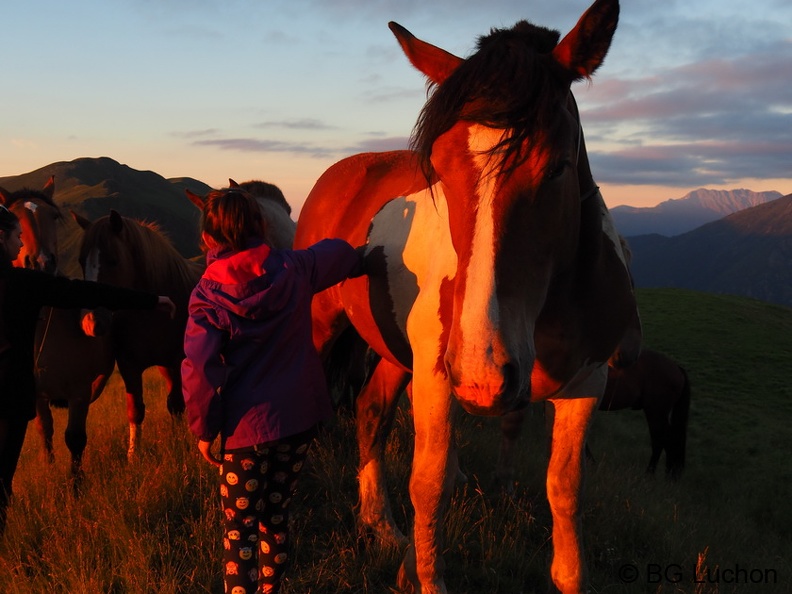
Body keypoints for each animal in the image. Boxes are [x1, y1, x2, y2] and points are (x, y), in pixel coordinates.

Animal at [0, 176, 116, 476]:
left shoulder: (79, 392)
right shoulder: (38, 394)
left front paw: (77, 483)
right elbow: (45, 430)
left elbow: (75, 439)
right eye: (16, 216)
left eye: (53, 215)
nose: (41, 262)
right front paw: (49, 468)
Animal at [72, 210, 206, 456]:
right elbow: (136, 409)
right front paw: (134, 455)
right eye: (81, 261)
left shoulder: (178, 360)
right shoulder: (129, 365)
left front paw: (183, 444)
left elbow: (178, 403)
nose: (90, 322)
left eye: (113, 260)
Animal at [294, 2, 636, 588]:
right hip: (322, 327)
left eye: (558, 166)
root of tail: (342, 172)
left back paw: (381, 524)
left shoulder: (587, 384)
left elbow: (564, 494)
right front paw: (422, 573)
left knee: (370, 414)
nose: (484, 374)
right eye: (440, 165)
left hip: (396, 356)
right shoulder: (438, 374)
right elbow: (431, 482)